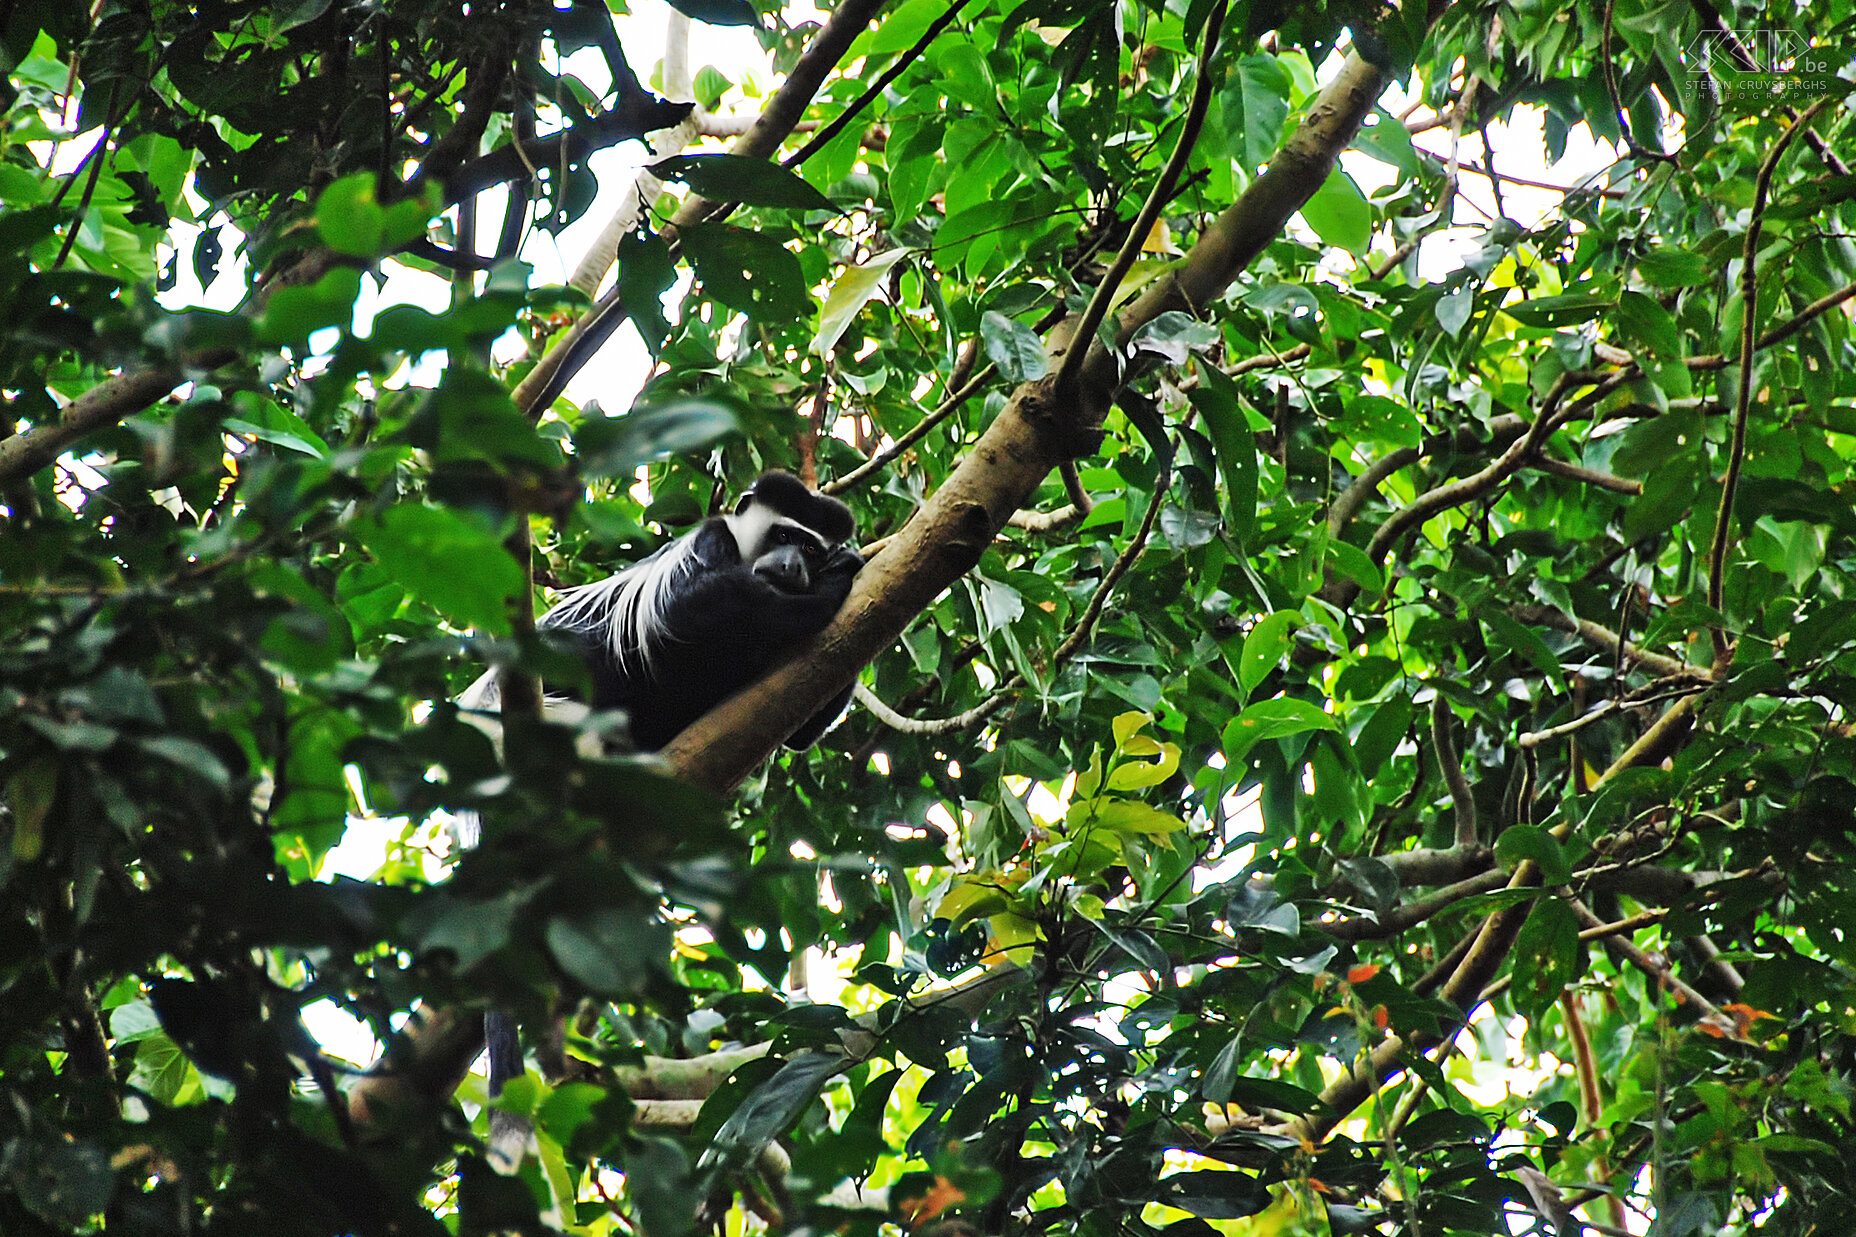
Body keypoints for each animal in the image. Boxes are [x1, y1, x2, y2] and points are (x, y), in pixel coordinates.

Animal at [452, 469, 857, 1166]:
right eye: (783, 536)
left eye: (807, 546)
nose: (792, 567)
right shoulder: (709, 545)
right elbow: (687, 614)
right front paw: (843, 576)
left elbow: (804, 724)